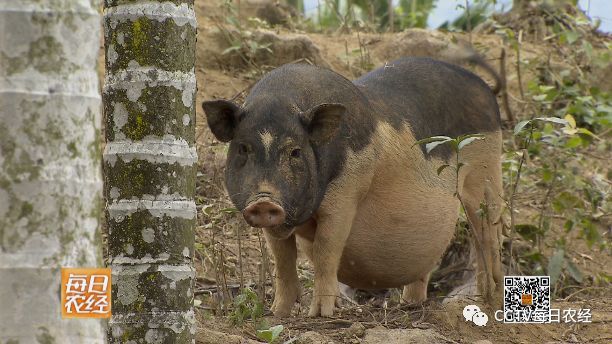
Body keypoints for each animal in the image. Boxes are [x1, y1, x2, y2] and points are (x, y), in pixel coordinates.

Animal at [201, 56, 502, 318]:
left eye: (295, 152)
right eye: (243, 148)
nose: (264, 201)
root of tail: (484, 88)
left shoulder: (347, 192)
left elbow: (326, 250)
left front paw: (320, 315)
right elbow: (283, 260)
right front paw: (277, 314)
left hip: (486, 170)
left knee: (488, 233)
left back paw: (487, 301)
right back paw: (410, 305)